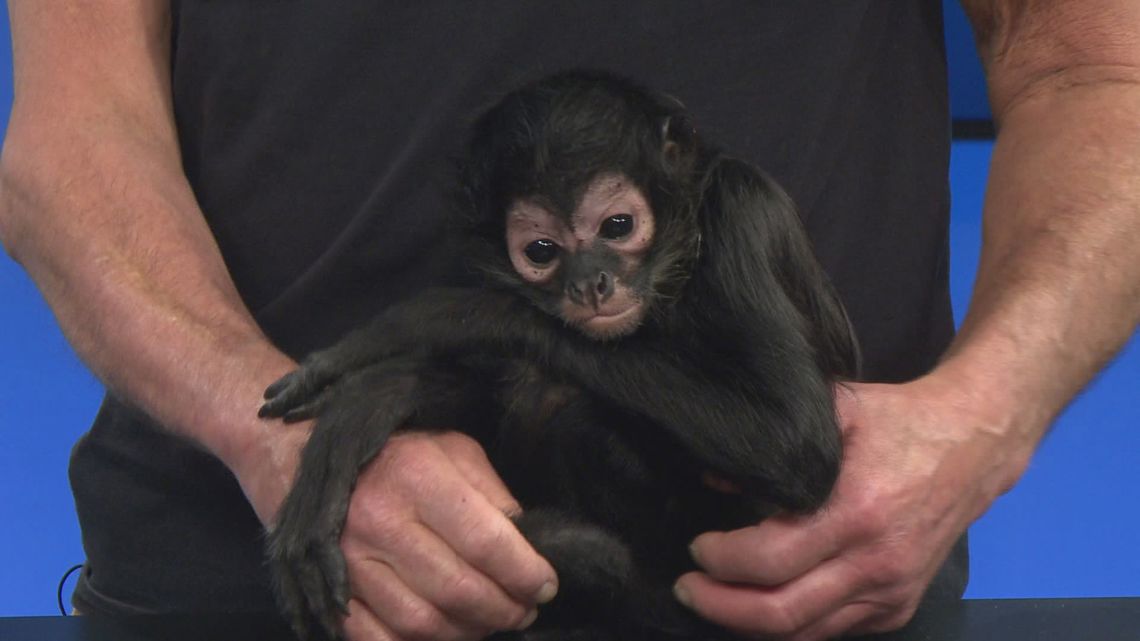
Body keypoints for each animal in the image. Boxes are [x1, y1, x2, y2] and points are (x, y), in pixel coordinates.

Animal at [259, 70, 860, 641]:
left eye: (617, 226)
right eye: (542, 251)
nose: (590, 284)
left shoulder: (739, 209)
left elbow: (794, 447)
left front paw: (433, 321)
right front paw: (382, 398)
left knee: (564, 402)